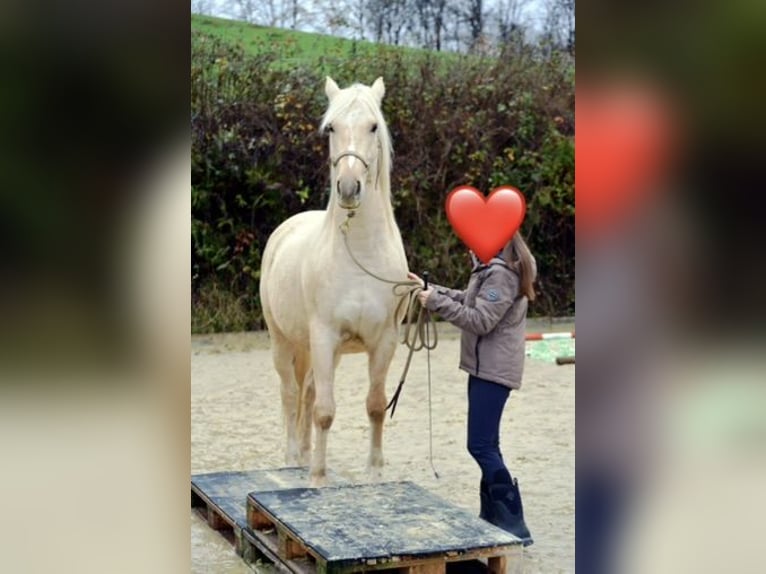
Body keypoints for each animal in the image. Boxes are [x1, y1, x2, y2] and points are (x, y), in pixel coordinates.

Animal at [259, 77, 409, 487]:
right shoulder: (324, 336)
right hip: (283, 341)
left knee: (307, 392)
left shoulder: (383, 341)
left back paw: (305, 453)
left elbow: (375, 405)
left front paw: (374, 472)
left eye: (373, 126)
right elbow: (324, 410)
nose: (348, 187)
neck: (360, 254)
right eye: (331, 128)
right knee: (291, 393)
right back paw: (294, 458)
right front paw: (318, 478)